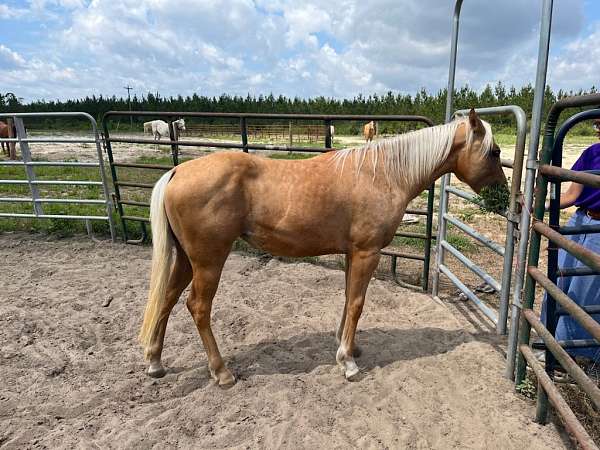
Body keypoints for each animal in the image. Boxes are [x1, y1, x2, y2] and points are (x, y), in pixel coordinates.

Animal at [137, 108, 506, 384]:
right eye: (495, 152)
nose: (505, 199)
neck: (383, 174)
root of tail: (176, 172)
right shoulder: (367, 253)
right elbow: (357, 303)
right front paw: (348, 363)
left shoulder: (352, 253)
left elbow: (347, 300)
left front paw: (347, 348)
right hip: (209, 261)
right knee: (197, 307)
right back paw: (221, 372)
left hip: (186, 260)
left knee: (167, 298)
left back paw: (155, 362)